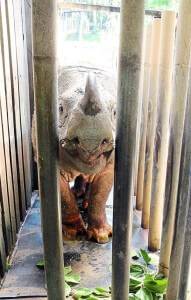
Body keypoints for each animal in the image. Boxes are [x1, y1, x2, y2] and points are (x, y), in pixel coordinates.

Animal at [31, 65, 116, 244]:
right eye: (60, 109)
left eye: (115, 112)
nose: (90, 141)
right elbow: (64, 197)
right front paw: (72, 233)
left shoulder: (111, 161)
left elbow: (101, 194)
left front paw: (102, 236)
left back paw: (86, 202)